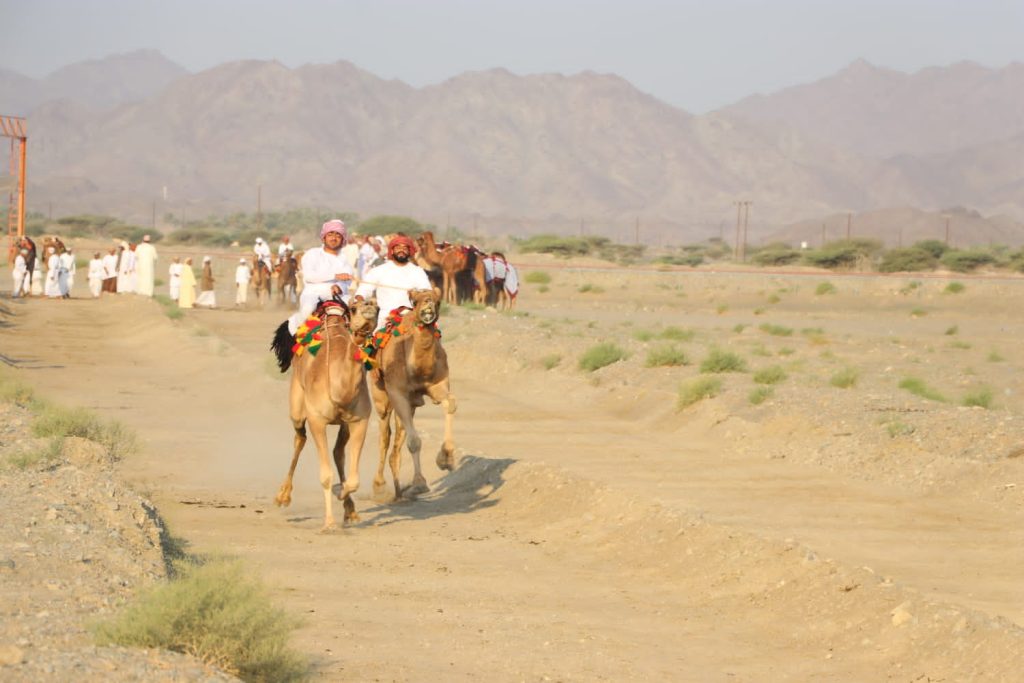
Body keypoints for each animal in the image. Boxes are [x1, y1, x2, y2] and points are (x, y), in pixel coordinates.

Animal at [269, 297, 379, 531]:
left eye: (378, 306)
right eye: (353, 308)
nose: (368, 307)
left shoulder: (359, 420)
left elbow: (353, 479)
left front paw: (342, 492)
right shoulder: (317, 421)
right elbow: (326, 475)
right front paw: (329, 523)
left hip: (344, 423)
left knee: (338, 452)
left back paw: (350, 509)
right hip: (297, 407)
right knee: (299, 439)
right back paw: (282, 496)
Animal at [369, 288, 457, 500]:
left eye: (438, 300)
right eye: (416, 301)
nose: (428, 304)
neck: (418, 371)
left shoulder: (438, 385)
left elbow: (450, 403)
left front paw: (446, 459)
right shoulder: (397, 392)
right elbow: (415, 442)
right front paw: (419, 484)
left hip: (410, 405)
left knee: (398, 436)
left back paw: (398, 490)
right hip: (381, 396)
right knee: (384, 435)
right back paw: (379, 486)